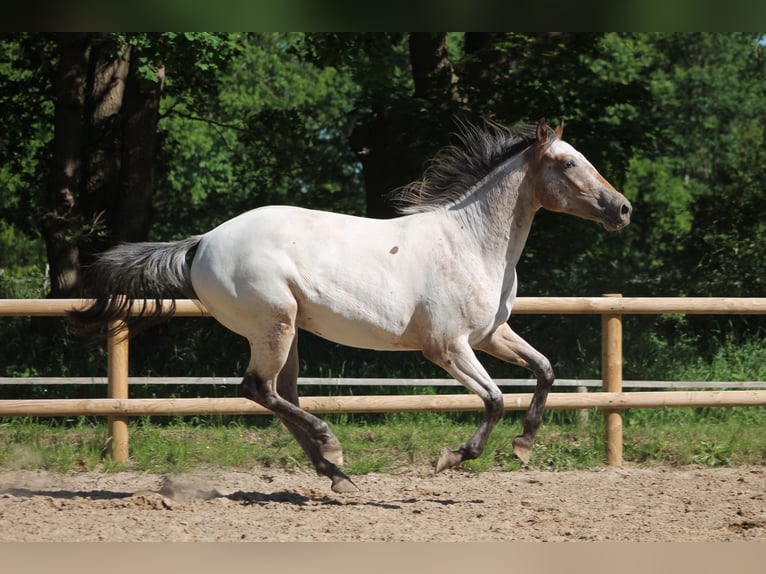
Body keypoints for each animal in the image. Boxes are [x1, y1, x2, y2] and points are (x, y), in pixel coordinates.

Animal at [69, 118, 632, 496]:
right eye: (567, 163)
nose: (623, 209)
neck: (470, 242)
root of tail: (203, 241)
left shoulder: (490, 335)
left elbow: (545, 370)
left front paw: (524, 445)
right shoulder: (446, 348)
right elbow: (494, 399)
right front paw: (453, 458)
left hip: (289, 333)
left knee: (279, 394)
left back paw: (334, 473)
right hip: (274, 325)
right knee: (258, 389)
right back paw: (333, 449)